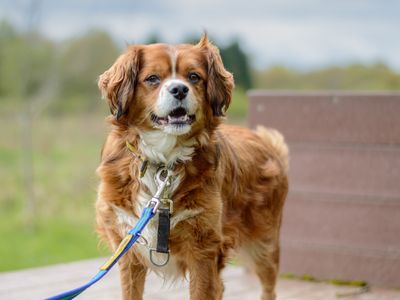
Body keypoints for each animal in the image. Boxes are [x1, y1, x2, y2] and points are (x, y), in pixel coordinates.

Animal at [95, 35, 290, 300]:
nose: (179, 89)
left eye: (194, 77)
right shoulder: (129, 252)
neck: (164, 161)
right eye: (152, 78)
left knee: (268, 287)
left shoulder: (203, 252)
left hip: (264, 245)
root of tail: (266, 140)